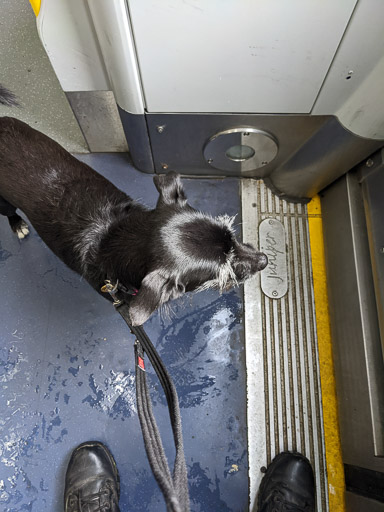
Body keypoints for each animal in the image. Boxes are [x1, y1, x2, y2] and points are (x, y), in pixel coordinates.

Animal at [0, 84, 268, 324]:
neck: (111, 237)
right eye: (223, 271)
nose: (264, 260)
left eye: (232, 236)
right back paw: (17, 225)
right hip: (3, 201)